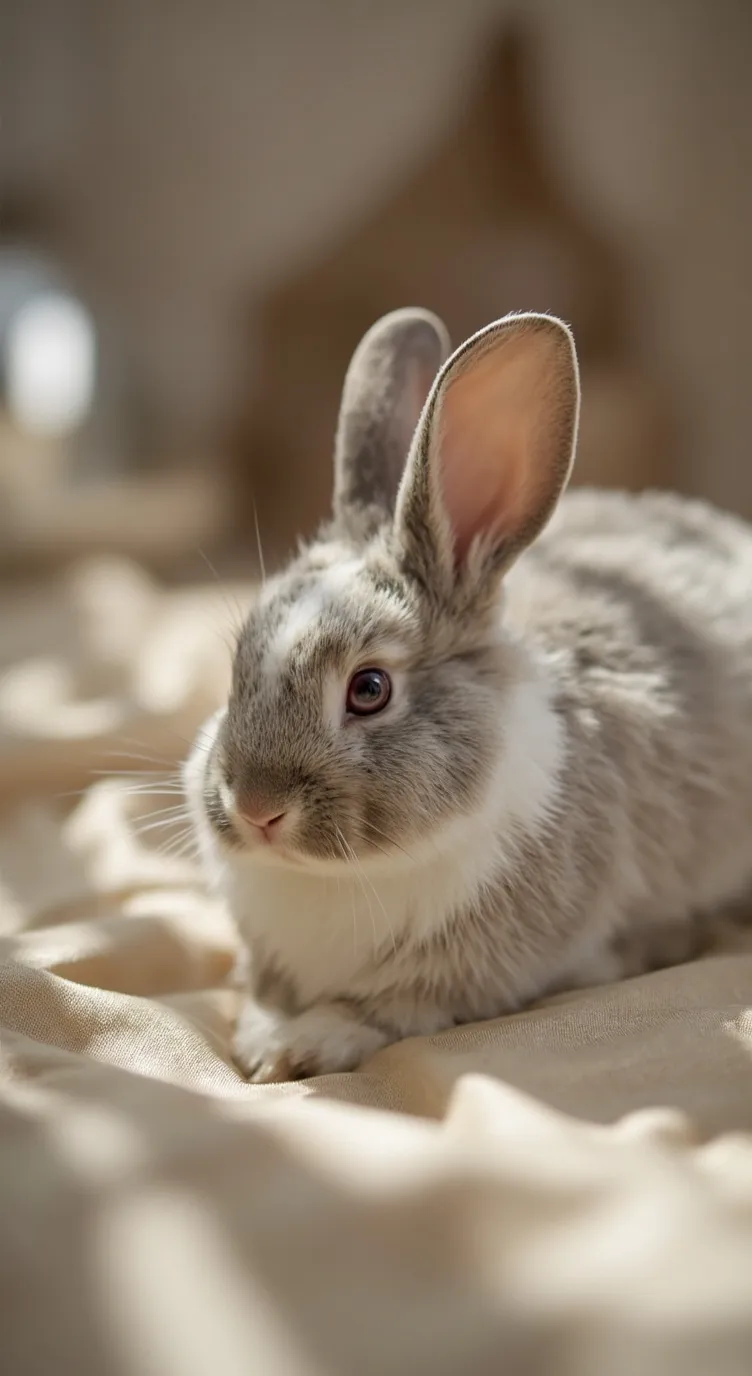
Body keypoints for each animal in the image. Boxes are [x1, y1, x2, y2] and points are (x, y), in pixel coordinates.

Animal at [183, 307, 752, 1083]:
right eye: (237, 664)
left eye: (369, 689)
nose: (255, 808)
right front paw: (261, 1036)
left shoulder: (465, 978)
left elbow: (388, 1010)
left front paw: (300, 1045)